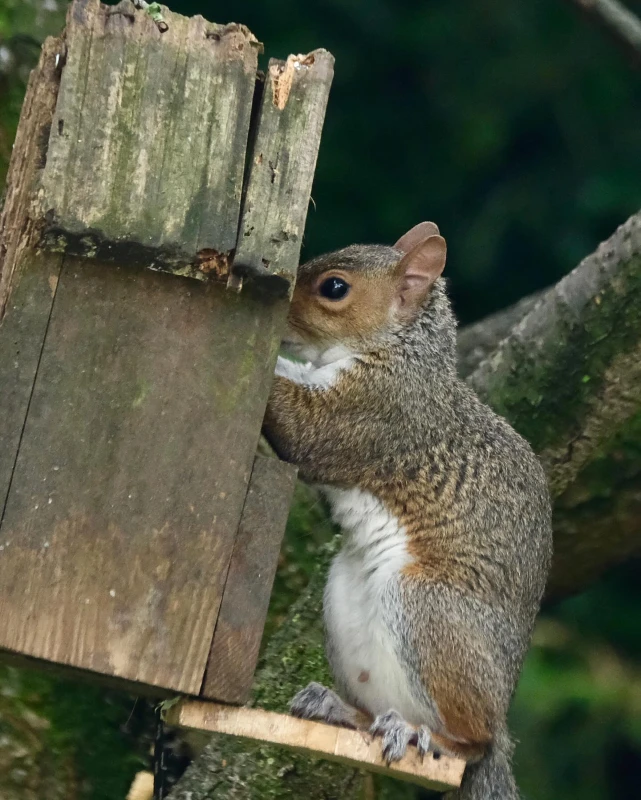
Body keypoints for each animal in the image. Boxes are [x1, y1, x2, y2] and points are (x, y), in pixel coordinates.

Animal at [262, 222, 553, 800]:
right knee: (378, 710)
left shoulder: (375, 413)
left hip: (426, 608)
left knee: (470, 741)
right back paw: (342, 710)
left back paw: (424, 735)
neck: (399, 352)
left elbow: (304, 428)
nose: (279, 309)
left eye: (334, 287)